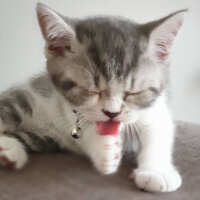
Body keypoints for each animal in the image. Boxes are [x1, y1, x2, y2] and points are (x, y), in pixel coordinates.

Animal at [0, 2, 186, 192]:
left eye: (132, 93)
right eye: (91, 91)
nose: (112, 113)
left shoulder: (155, 108)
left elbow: (157, 131)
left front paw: (157, 171)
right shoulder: (71, 109)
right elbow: (84, 130)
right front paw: (104, 149)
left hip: (47, 137)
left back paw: (9, 150)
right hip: (24, 99)